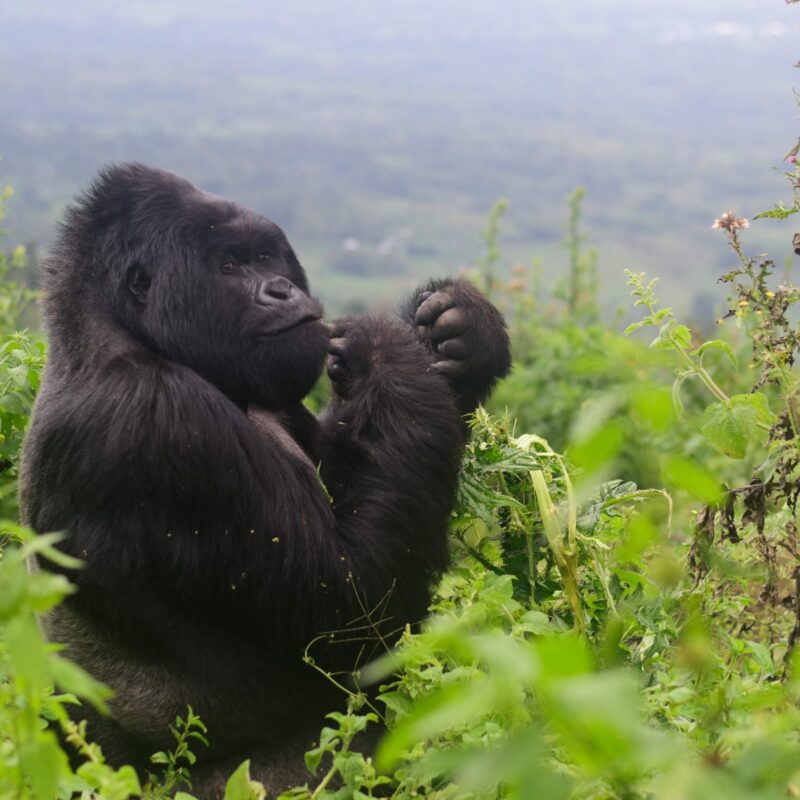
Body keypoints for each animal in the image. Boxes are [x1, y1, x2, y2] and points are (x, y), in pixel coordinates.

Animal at [20, 166, 512, 796]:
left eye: (266, 257)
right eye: (229, 266)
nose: (281, 290)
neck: (114, 331)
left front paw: (462, 332)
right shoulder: (154, 420)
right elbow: (356, 606)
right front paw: (386, 348)